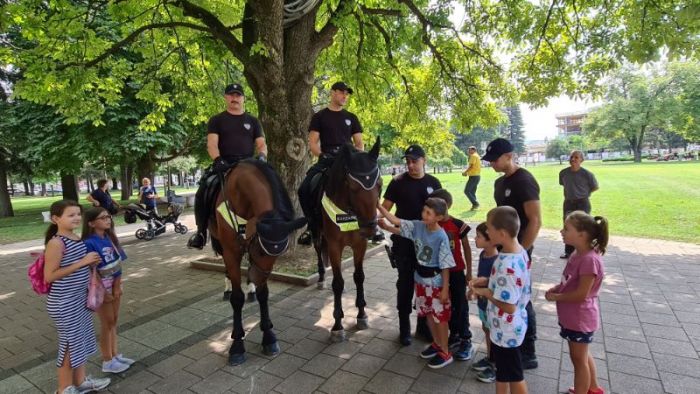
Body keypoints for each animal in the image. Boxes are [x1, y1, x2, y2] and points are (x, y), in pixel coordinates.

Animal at [209, 159, 304, 364]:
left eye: (278, 254)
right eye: (260, 250)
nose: (257, 279)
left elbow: (264, 295)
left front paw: (268, 336)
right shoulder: (231, 252)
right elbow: (237, 298)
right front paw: (237, 345)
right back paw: (228, 289)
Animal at [314, 137, 382, 340]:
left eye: (380, 184)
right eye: (352, 186)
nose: (371, 228)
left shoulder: (360, 244)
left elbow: (359, 277)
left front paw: (362, 315)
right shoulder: (335, 246)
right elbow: (337, 282)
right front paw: (337, 324)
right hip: (315, 231)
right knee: (318, 249)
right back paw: (321, 277)